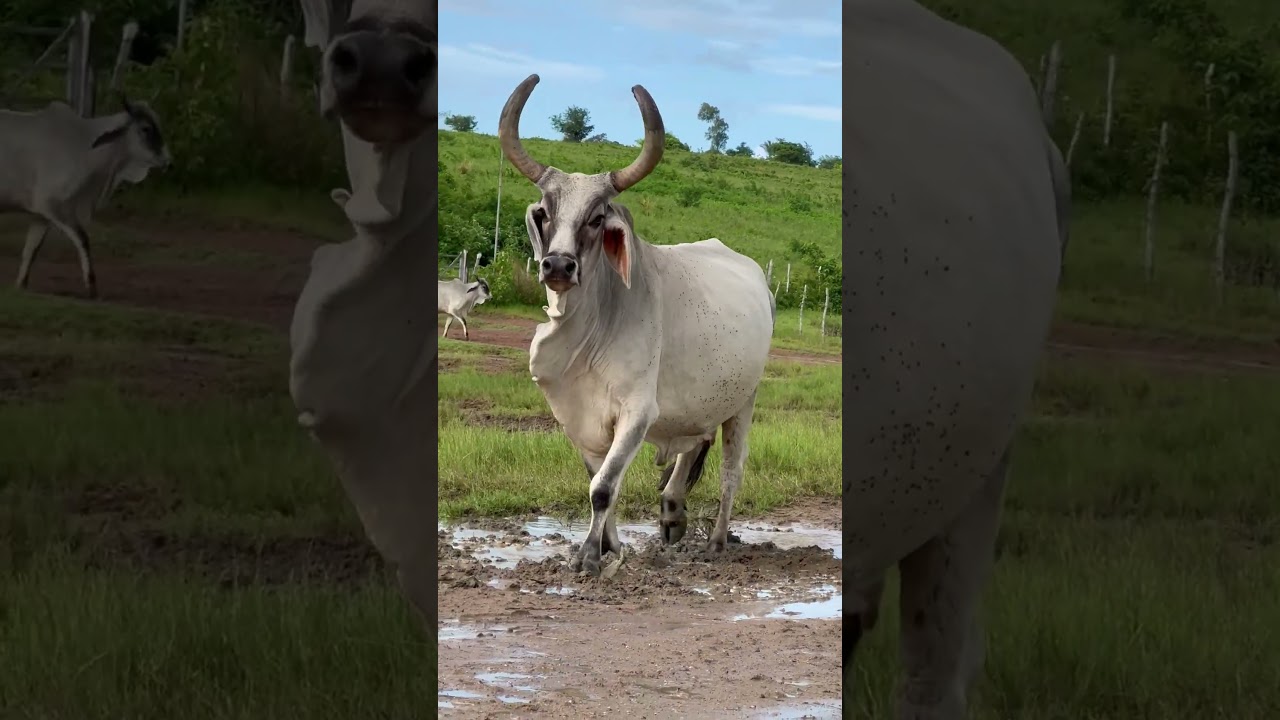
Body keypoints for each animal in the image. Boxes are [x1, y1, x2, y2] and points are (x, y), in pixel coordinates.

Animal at [0, 95, 170, 298]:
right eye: (145, 128)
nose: (168, 160)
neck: (82, 144)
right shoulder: (55, 206)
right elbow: (83, 239)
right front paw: (92, 287)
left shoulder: (40, 215)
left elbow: (32, 250)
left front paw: (21, 285)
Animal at [497, 74, 776, 577]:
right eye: (545, 213)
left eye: (595, 218)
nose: (558, 266)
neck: (588, 336)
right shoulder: (580, 420)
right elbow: (601, 481)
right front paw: (610, 547)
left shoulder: (637, 413)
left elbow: (603, 488)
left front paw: (590, 556)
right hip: (700, 402)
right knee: (689, 453)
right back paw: (672, 514)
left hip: (744, 402)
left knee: (731, 470)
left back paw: (716, 541)